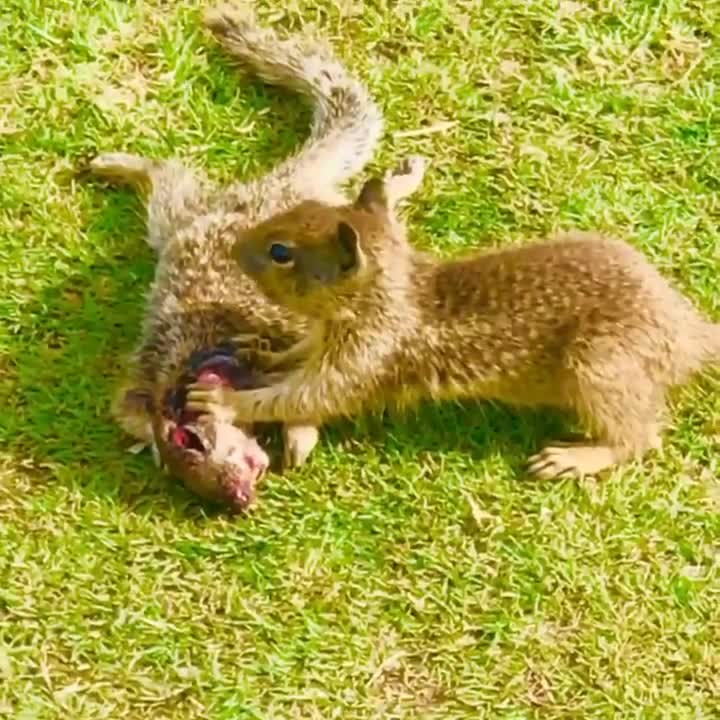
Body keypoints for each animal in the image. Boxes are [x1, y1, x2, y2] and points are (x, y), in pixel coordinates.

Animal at [88, 4, 386, 510]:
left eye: (191, 438)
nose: (238, 497)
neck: (202, 355)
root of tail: (279, 185)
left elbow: (321, 381)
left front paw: (299, 437)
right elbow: (130, 410)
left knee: (167, 173)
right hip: (174, 220)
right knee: (164, 176)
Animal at [186, 161, 720, 480]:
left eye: (281, 253)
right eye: (300, 208)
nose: (233, 248)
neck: (387, 295)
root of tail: (687, 330)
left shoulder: (366, 358)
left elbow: (307, 395)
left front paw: (222, 401)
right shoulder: (326, 339)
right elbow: (296, 356)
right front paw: (260, 350)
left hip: (600, 366)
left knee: (639, 437)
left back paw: (574, 458)